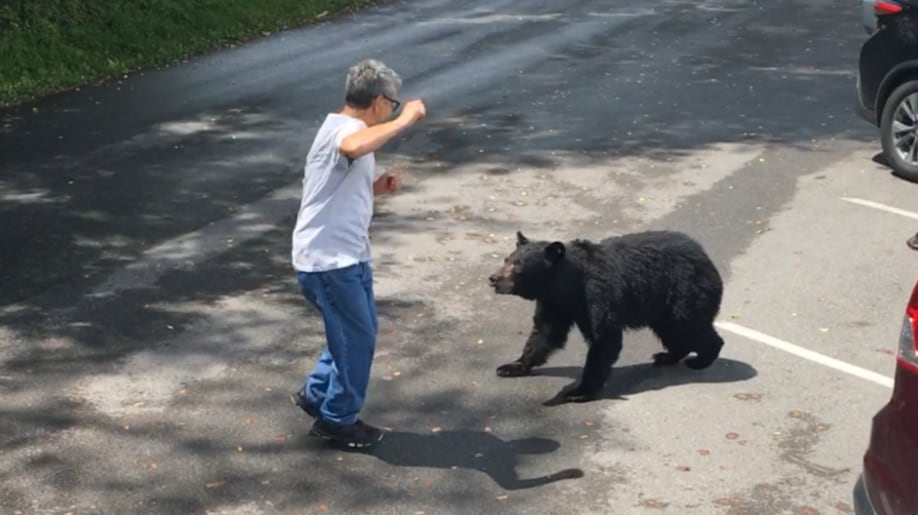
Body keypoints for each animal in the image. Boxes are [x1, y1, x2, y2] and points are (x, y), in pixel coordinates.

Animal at [487, 229, 725, 406]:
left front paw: (577, 392)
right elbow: (546, 333)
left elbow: (604, 339)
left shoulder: (597, 296)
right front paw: (511, 366)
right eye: (507, 259)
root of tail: (706, 257)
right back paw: (667, 356)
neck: (567, 285)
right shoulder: (555, 303)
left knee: (690, 326)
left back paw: (701, 359)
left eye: (518, 265)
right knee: (673, 331)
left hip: (684, 293)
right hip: (663, 307)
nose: (493, 278)